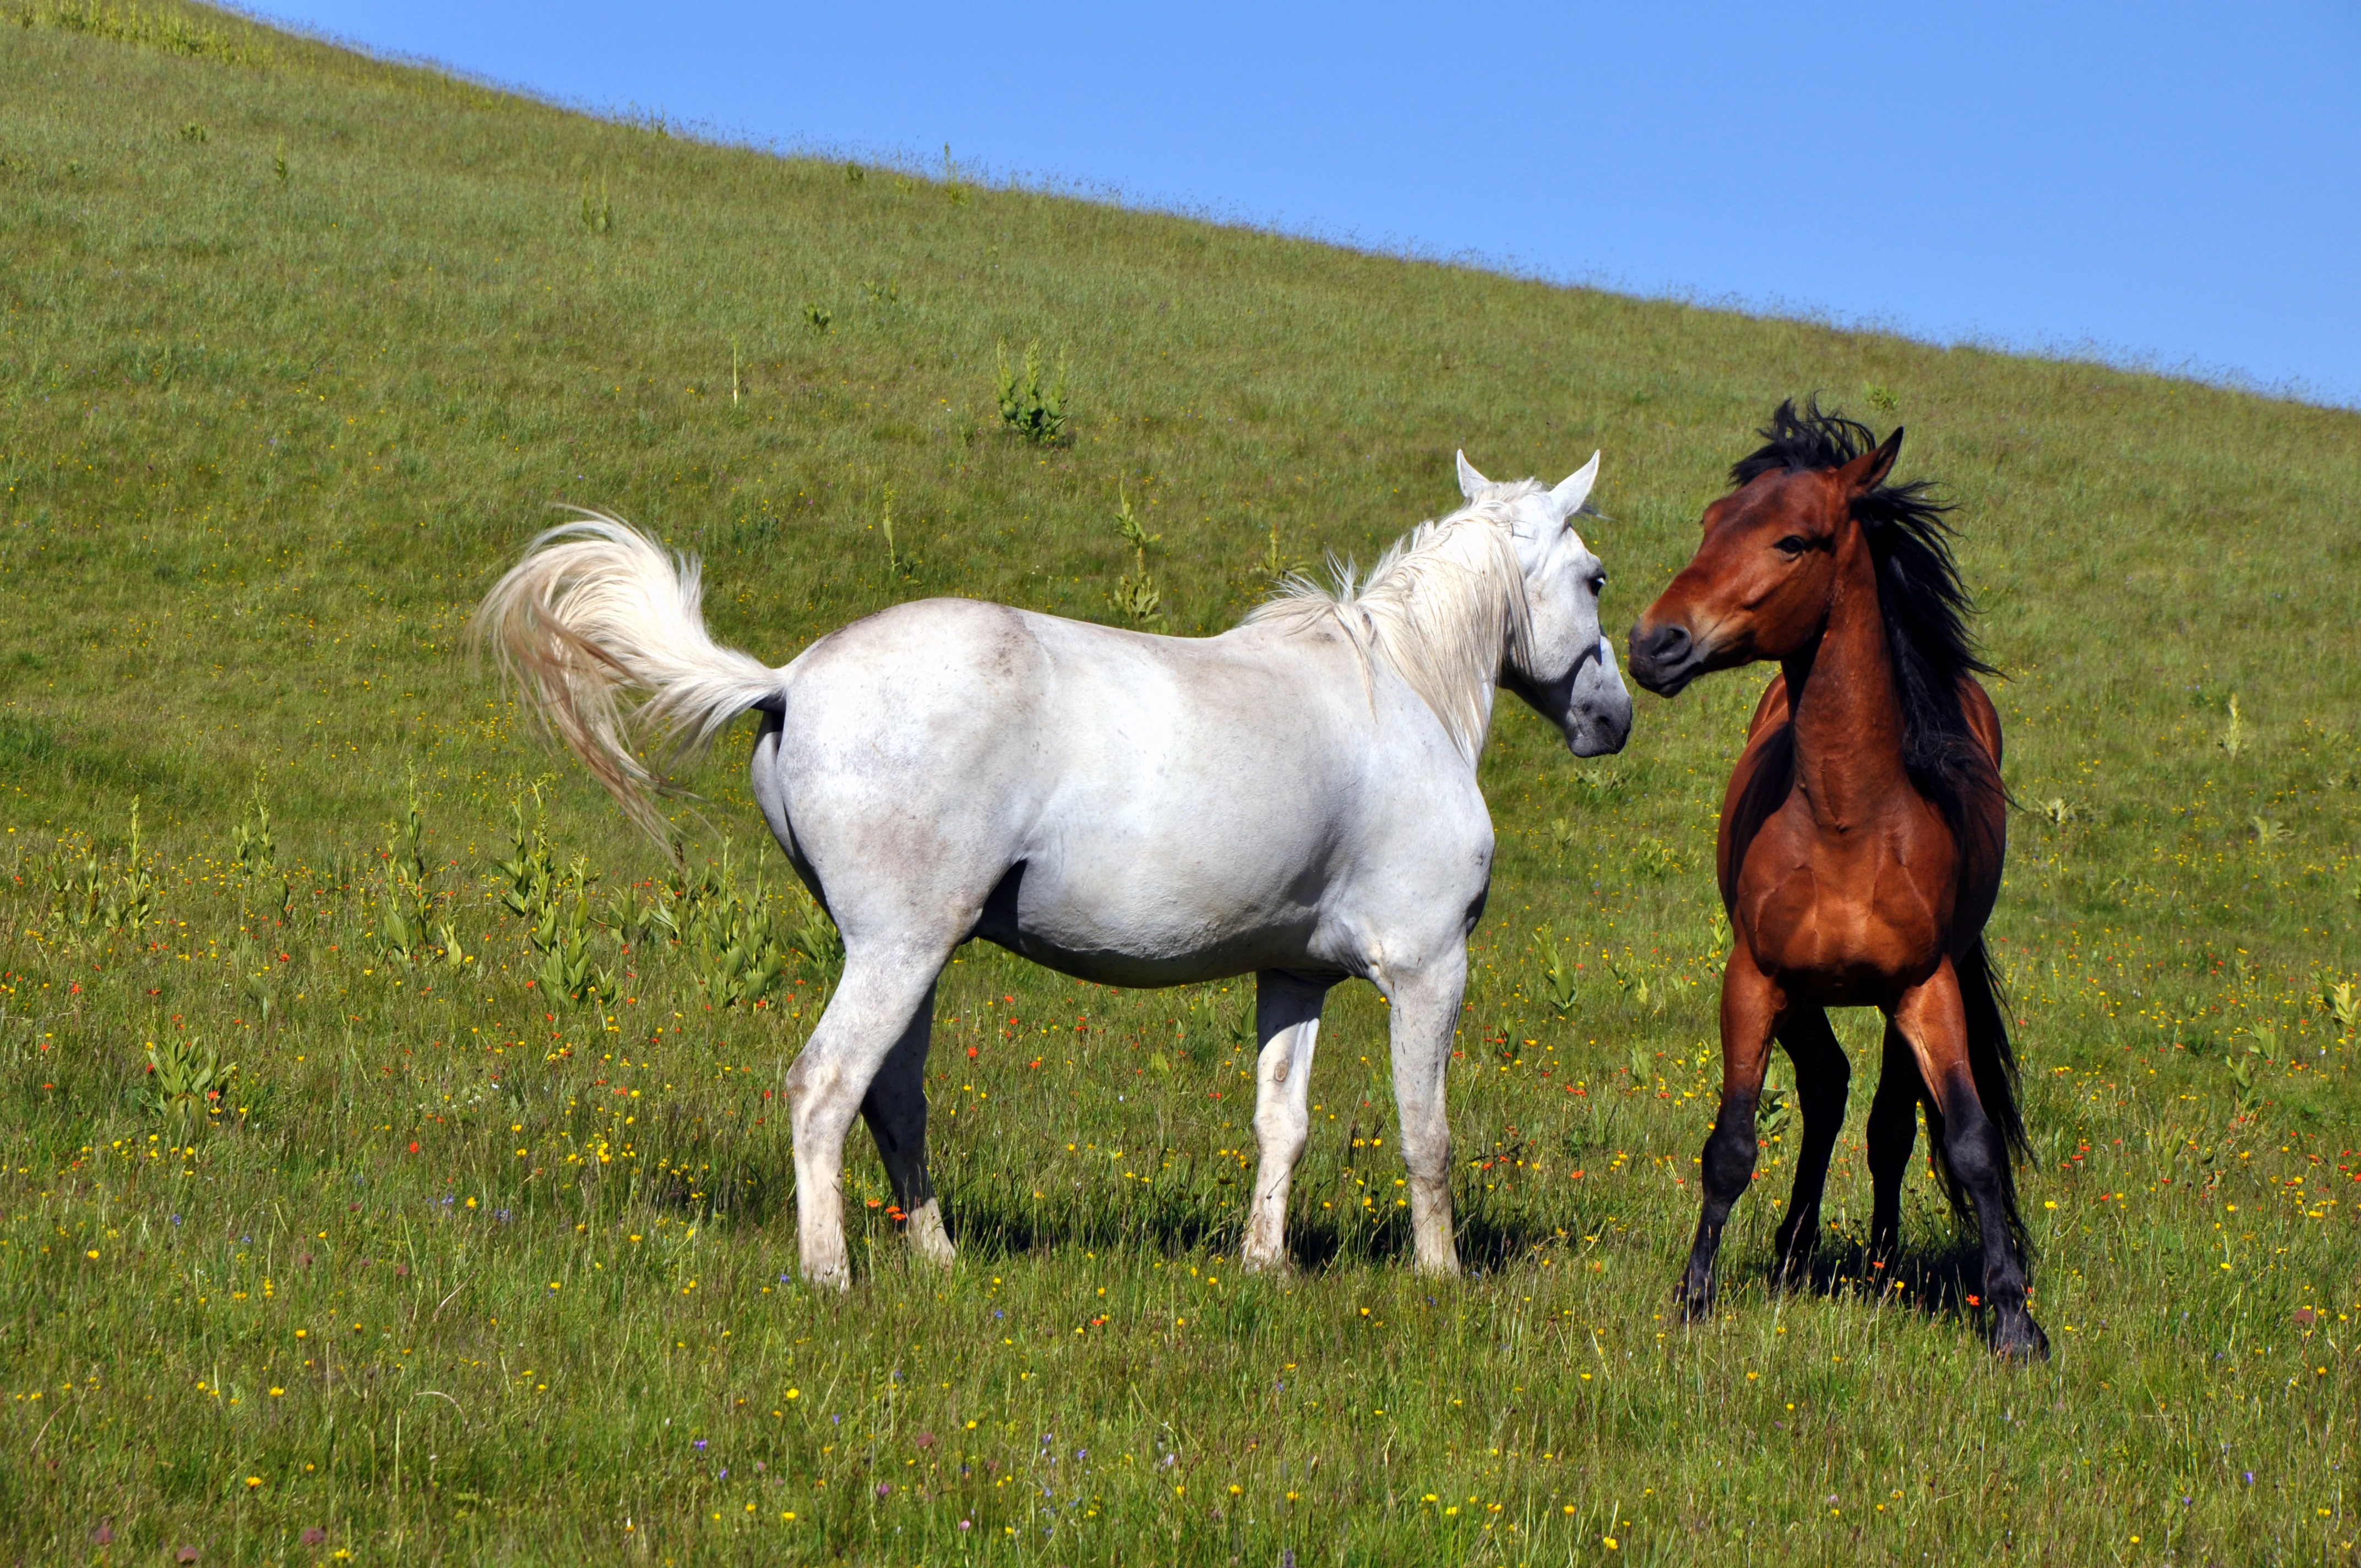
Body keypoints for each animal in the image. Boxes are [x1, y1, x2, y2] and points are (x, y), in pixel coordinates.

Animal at [474, 451, 1632, 1288]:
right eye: (1593, 578)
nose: (1610, 719)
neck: (1401, 690)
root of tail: (790, 677)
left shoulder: (1292, 972)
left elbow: (1280, 1124)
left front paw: (1263, 1266)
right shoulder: (1428, 969)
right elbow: (1426, 1133)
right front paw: (1440, 1277)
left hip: (910, 955)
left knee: (895, 1100)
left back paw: (938, 1257)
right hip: (896, 951)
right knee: (825, 1088)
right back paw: (831, 1273)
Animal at [1626, 401, 2045, 1359]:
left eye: (1793, 541)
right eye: (1710, 524)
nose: (1654, 642)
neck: (1849, 822)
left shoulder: (1927, 987)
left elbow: (1969, 1143)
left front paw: (2014, 1320)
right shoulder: (1755, 977)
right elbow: (1732, 1143)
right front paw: (1693, 1298)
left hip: (1900, 1000)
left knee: (1888, 1122)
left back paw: (1882, 1265)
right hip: (1804, 993)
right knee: (1826, 1091)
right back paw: (1792, 1252)